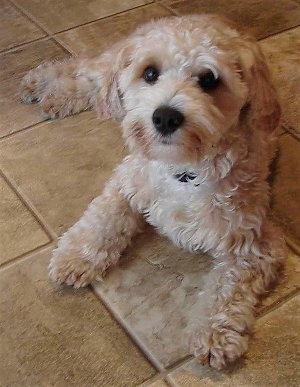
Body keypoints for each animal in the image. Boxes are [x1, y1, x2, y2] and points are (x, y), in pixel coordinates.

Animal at [20, 15, 286, 372]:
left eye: (209, 79)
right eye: (149, 73)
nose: (165, 116)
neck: (183, 170)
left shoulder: (254, 242)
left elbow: (228, 288)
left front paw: (214, 334)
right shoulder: (128, 180)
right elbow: (103, 216)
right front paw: (76, 255)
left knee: (91, 84)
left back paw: (55, 95)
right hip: (107, 68)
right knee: (84, 67)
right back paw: (40, 83)